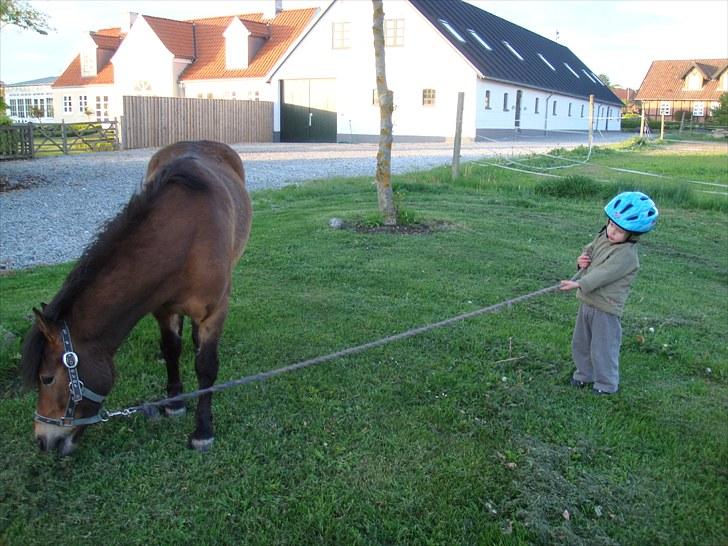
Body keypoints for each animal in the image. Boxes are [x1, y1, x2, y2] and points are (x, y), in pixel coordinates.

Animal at [21, 140, 253, 454]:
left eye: (46, 378)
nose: (43, 441)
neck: (184, 238)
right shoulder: (163, 309)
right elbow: (171, 350)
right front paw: (174, 403)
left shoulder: (214, 312)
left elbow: (206, 366)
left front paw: (203, 430)